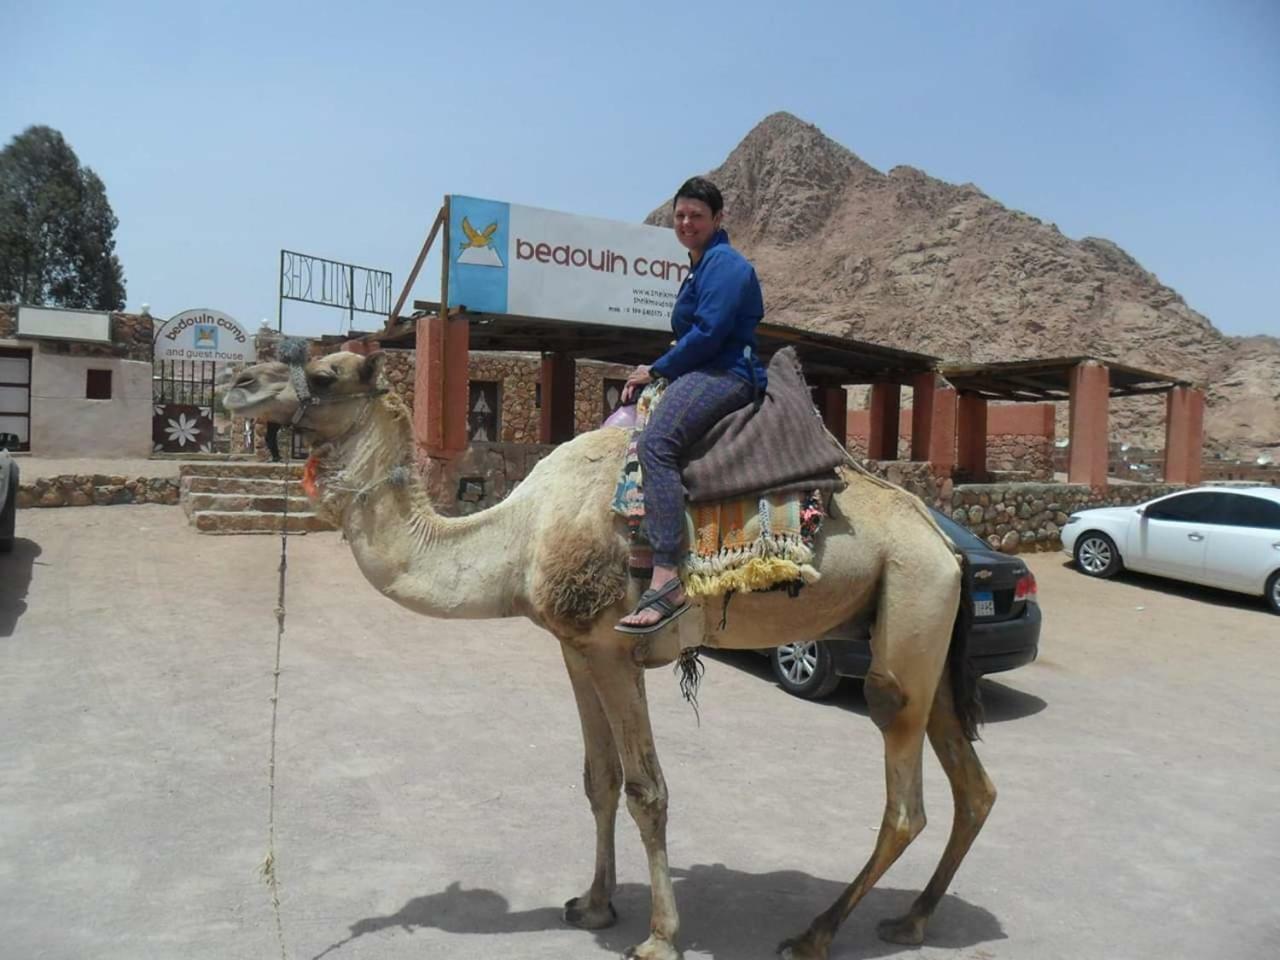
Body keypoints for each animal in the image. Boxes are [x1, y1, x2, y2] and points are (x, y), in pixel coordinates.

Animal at [222, 348, 998, 960]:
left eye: (324, 373)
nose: (236, 381)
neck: (519, 537)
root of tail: (949, 542)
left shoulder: (614, 650)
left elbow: (645, 790)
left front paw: (658, 937)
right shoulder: (577, 649)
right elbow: (598, 779)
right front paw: (592, 905)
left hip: (909, 609)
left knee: (905, 796)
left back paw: (816, 933)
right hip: (921, 627)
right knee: (974, 786)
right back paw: (912, 919)